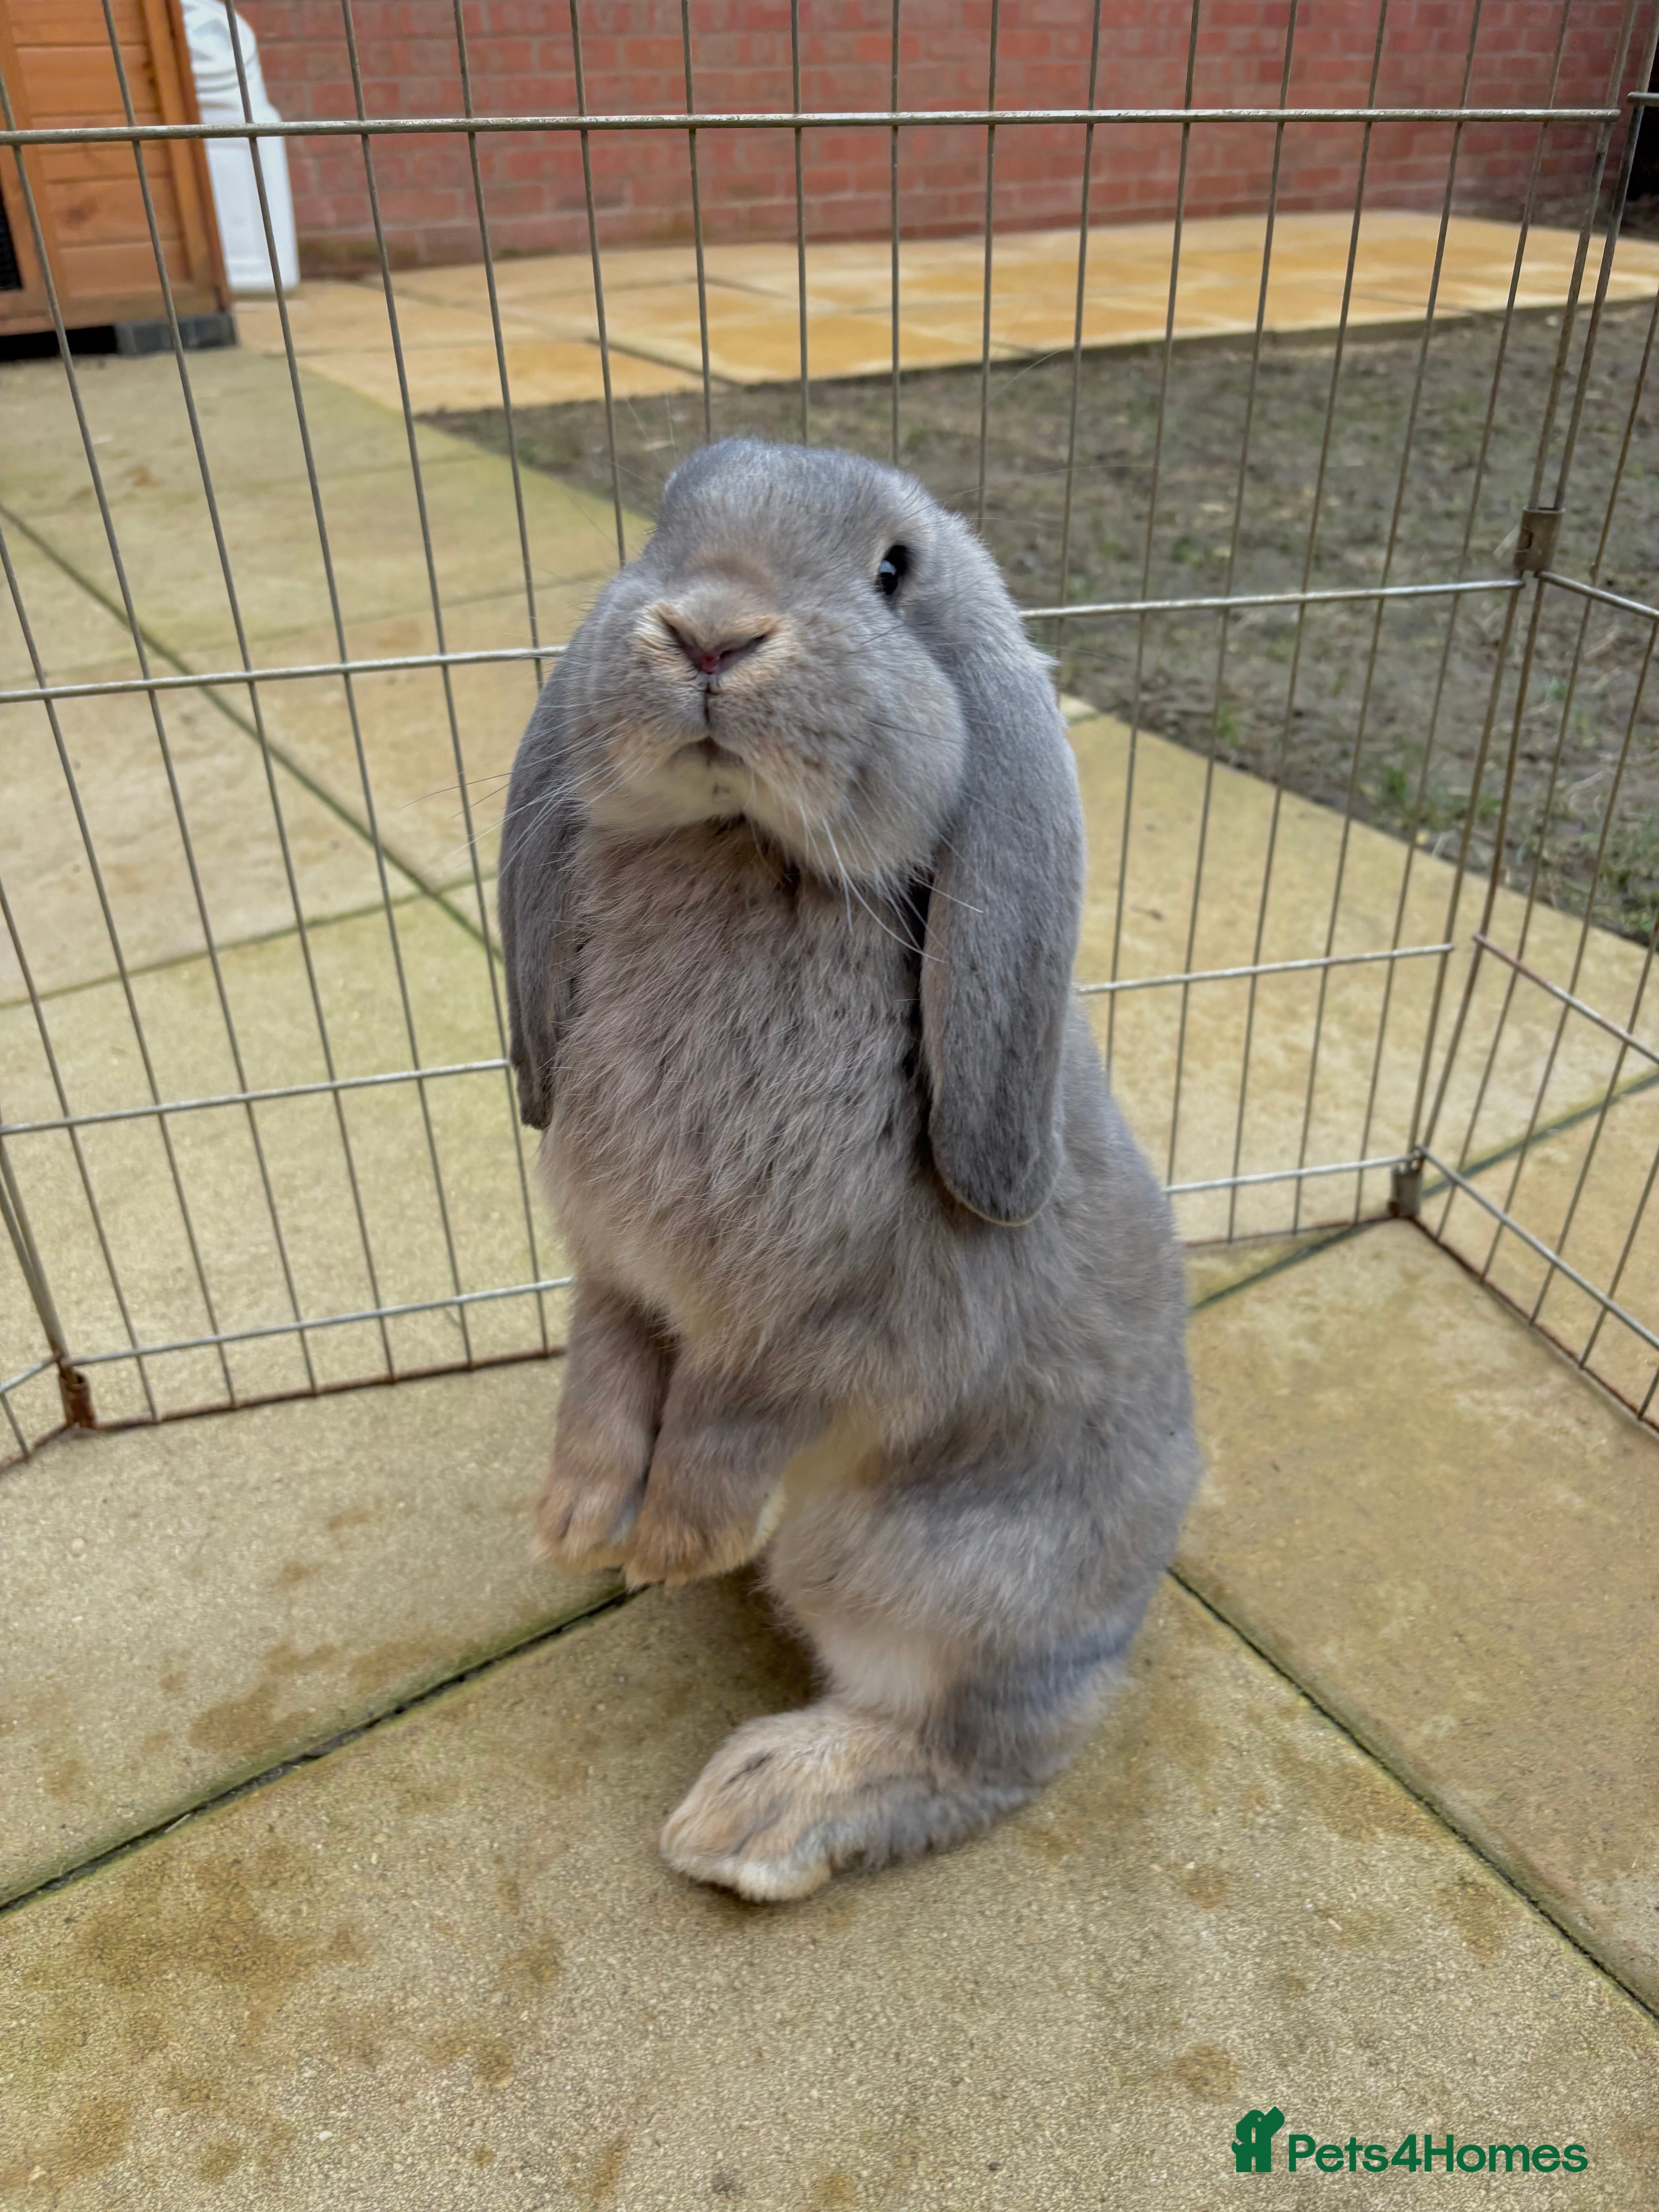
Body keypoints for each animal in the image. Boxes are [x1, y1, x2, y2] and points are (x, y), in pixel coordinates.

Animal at [497, 438, 1200, 1902]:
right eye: (666, 524)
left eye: (892, 571)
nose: (710, 631)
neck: (736, 847)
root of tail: (1121, 1618)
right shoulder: (619, 1275)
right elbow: (606, 1366)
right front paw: (579, 1523)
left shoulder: (825, 1323)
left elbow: (731, 1411)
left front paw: (677, 1545)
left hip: (917, 1575)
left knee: (976, 1752)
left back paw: (752, 1814)